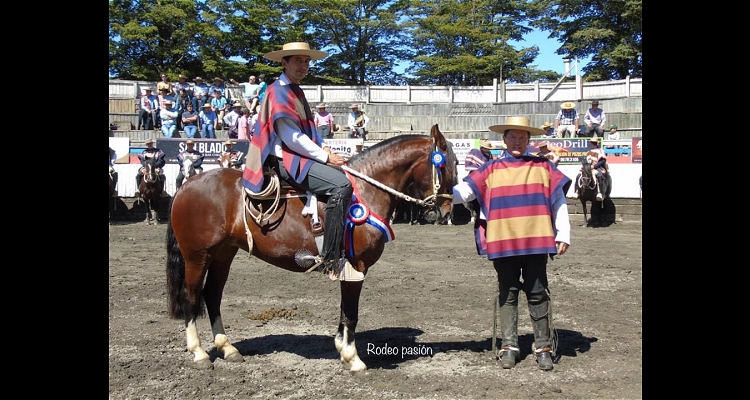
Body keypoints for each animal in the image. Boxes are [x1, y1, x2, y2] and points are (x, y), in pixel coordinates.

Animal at [166, 124, 458, 372]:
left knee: (212, 295)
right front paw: (353, 358)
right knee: (192, 296)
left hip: (223, 255)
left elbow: (344, 311)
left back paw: (227, 348)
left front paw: (341, 348)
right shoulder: (357, 266)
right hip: (196, 256)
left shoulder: (347, 268)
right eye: (447, 165)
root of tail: (186, 185)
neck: (365, 191)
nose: (445, 211)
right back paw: (199, 352)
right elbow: (351, 313)